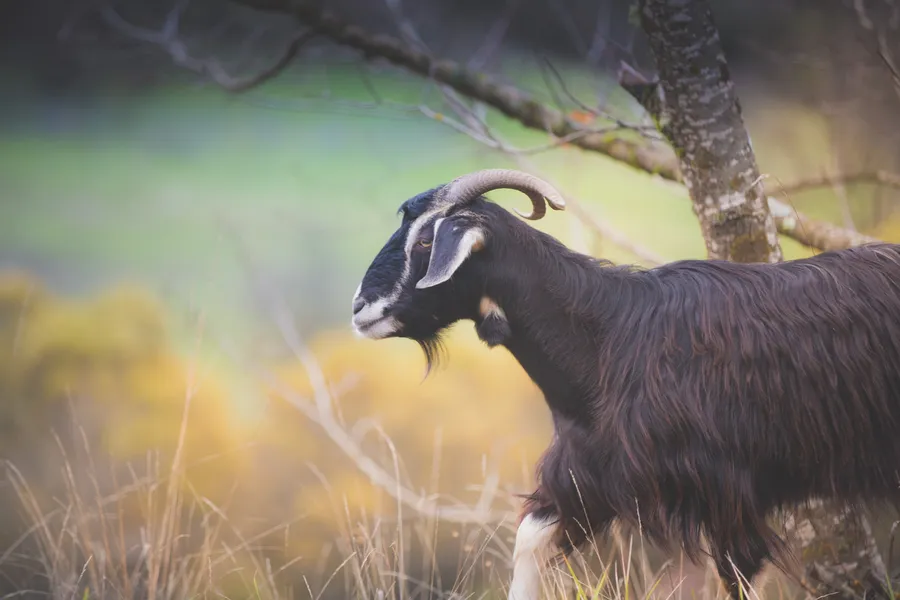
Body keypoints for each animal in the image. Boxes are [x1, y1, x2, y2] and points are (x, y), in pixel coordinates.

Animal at [350, 168, 900, 600]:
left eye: (426, 240)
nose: (360, 309)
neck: (605, 340)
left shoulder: (728, 491)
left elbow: (738, 578)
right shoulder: (588, 477)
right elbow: (528, 541)